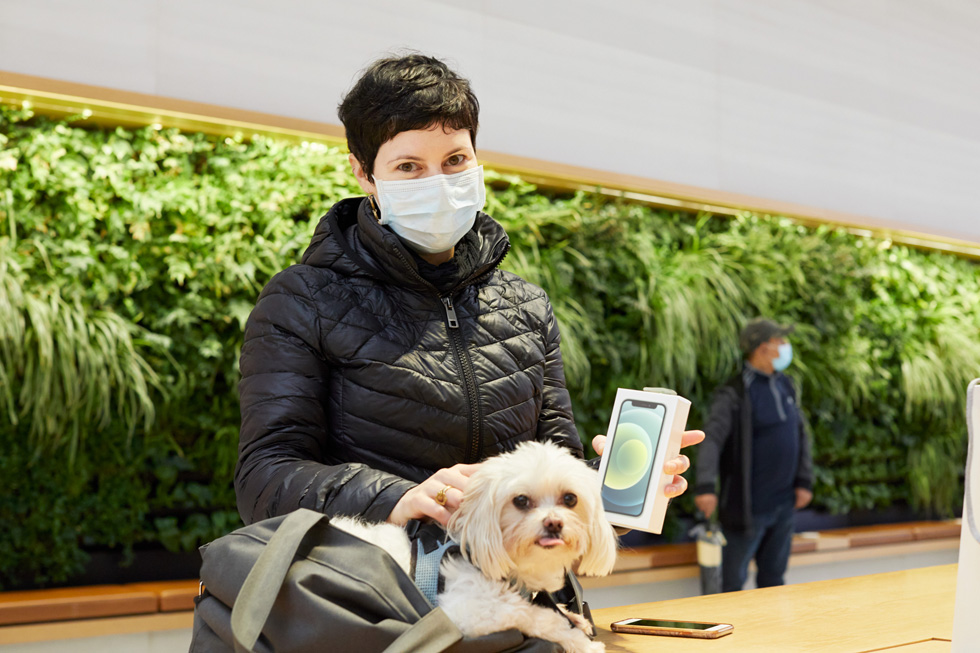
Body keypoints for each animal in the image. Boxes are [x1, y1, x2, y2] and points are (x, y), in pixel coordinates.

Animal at [334, 440, 616, 648]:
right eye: (520, 500)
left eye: (570, 499)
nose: (554, 523)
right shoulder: (466, 611)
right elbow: (531, 614)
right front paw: (579, 640)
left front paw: (573, 616)